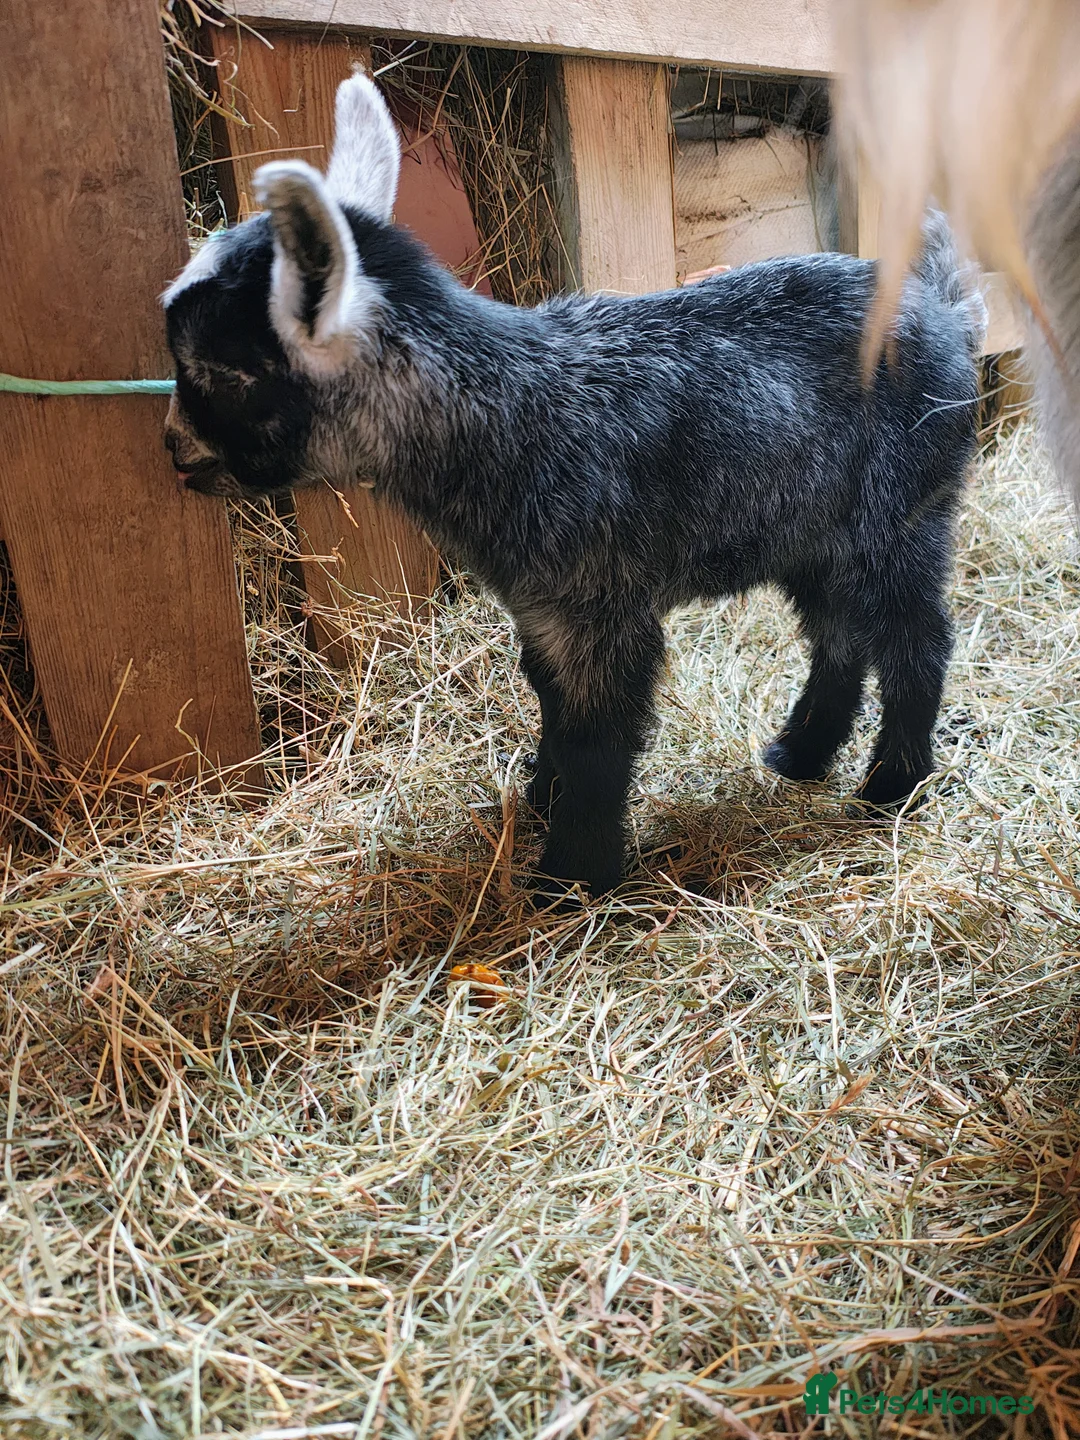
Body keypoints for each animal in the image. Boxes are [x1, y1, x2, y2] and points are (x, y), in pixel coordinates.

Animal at [162, 73, 985, 899]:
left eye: (226, 373)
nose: (172, 447)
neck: (508, 412)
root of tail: (946, 314)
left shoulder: (601, 606)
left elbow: (596, 733)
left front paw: (571, 876)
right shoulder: (541, 605)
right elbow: (550, 700)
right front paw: (540, 799)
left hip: (905, 512)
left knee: (916, 639)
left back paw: (891, 787)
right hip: (814, 532)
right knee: (840, 634)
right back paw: (802, 754)